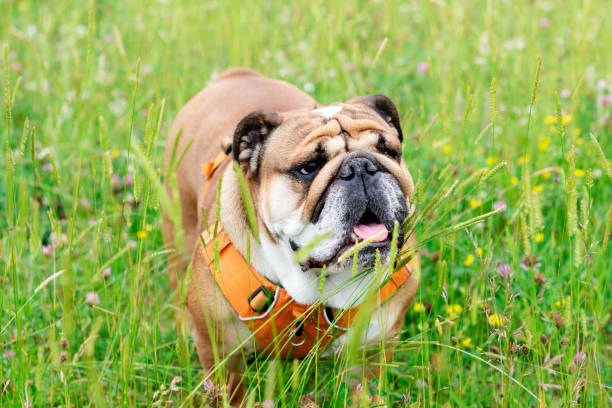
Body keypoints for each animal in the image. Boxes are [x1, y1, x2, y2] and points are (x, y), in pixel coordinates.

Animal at [163, 68, 418, 404]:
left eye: (389, 151)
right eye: (309, 167)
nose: (362, 166)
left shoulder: (370, 351)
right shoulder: (221, 357)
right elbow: (231, 395)